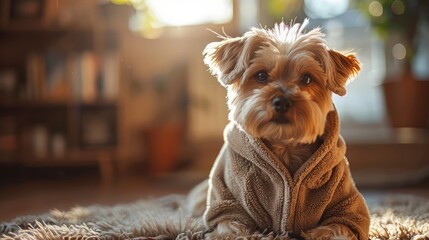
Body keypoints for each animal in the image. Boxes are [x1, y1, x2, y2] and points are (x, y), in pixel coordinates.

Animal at [189, 20, 370, 240]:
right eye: (261, 75)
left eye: (307, 79)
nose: (282, 101)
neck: (285, 145)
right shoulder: (227, 204)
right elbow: (230, 228)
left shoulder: (346, 209)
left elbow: (338, 228)